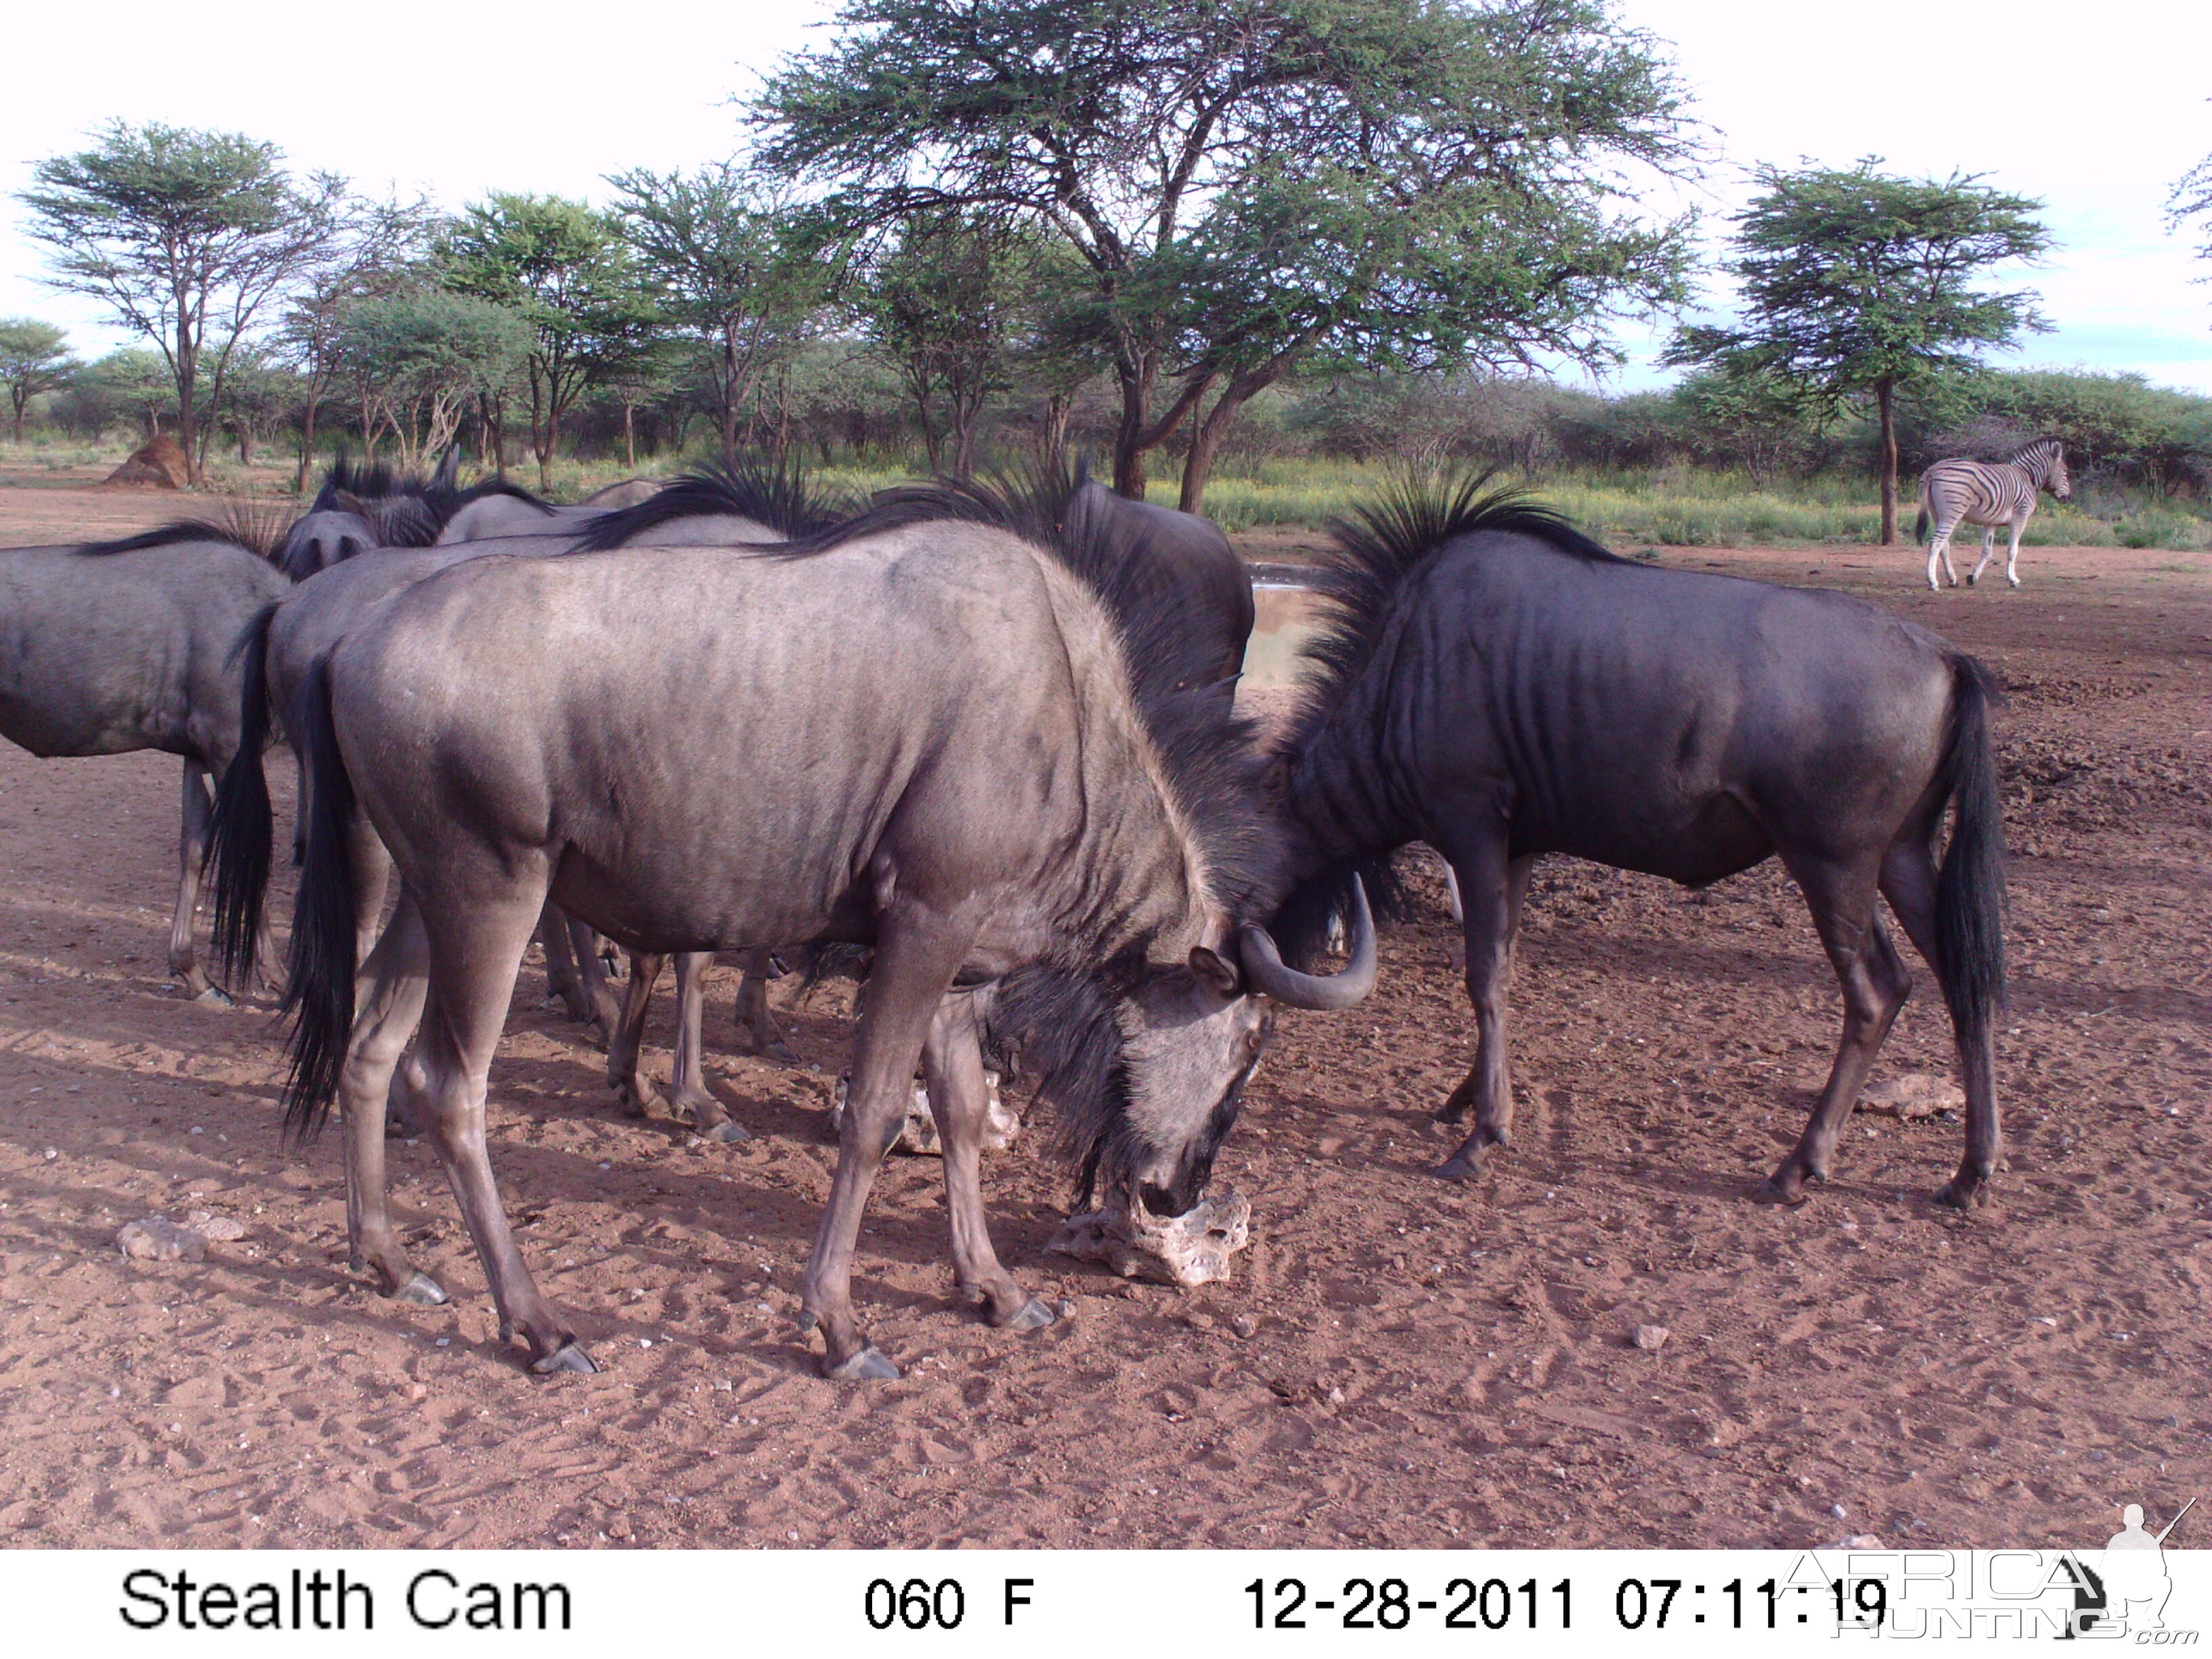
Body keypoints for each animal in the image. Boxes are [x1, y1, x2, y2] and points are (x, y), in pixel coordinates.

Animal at [1920, 438, 2070, 592]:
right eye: (2065, 471)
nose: (2068, 498)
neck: (2028, 477)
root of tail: (1934, 470)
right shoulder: (2020, 518)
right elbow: (2012, 550)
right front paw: (2013, 580)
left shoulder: (1991, 523)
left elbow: (1987, 551)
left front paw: (1973, 577)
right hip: (1952, 513)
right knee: (1936, 542)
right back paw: (1933, 582)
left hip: (1936, 514)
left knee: (1944, 546)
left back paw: (1952, 579)